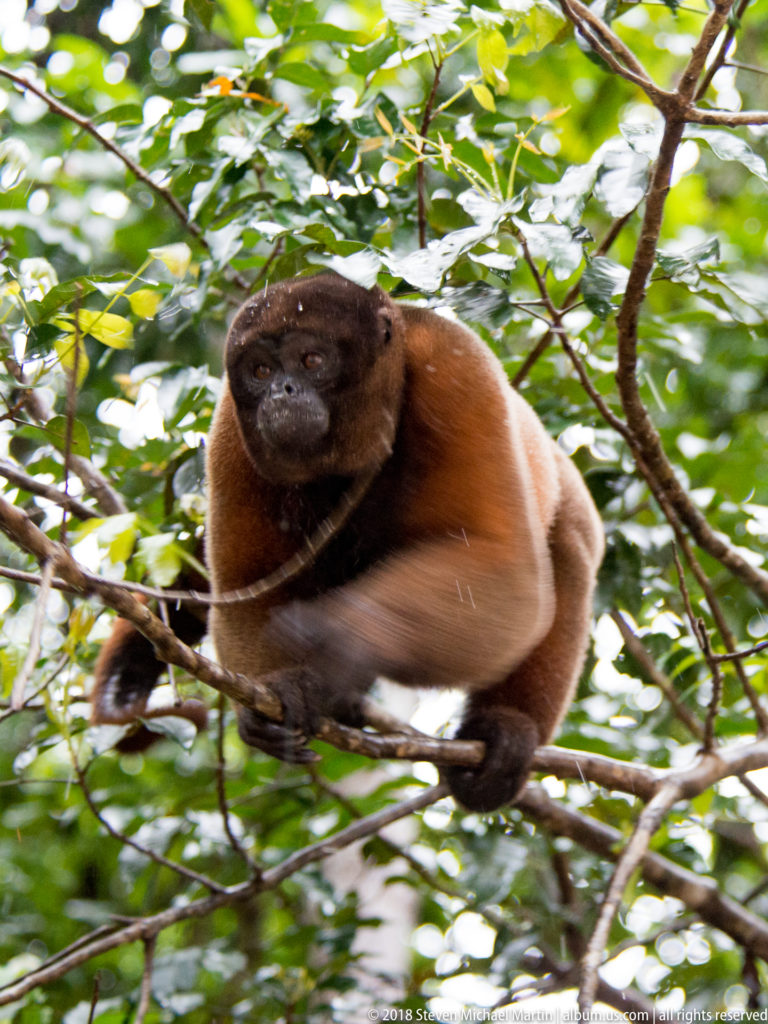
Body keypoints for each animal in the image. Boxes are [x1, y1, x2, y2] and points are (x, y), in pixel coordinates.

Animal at [91, 272, 603, 811]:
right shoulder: (232, 425)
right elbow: (252, 587)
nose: (282, 391)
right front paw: (285, 691)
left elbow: (509, 570)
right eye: (260, 370)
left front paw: (346, 639)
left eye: (312, 361)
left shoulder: (456, 363)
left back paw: (507, 729)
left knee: (566, 550)